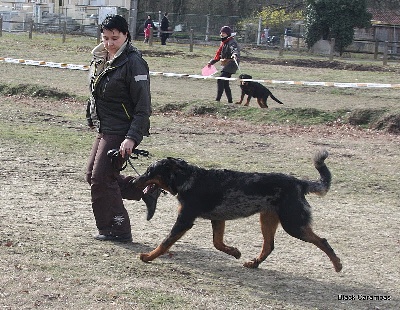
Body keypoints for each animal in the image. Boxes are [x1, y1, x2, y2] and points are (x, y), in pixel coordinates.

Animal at [133, 151, 342, 272]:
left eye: (149, 172)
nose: (135, 181)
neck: (187, 178)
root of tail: (299, 183)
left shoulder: (184, 220)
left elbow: (165, 243)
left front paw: (148, 256)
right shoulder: (217, 219)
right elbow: (217, 243)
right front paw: (234, 252)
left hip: (293, 225)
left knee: (322, 241)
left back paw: (337, 264)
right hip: (267, 220)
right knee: (269, 246)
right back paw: (254, 263)